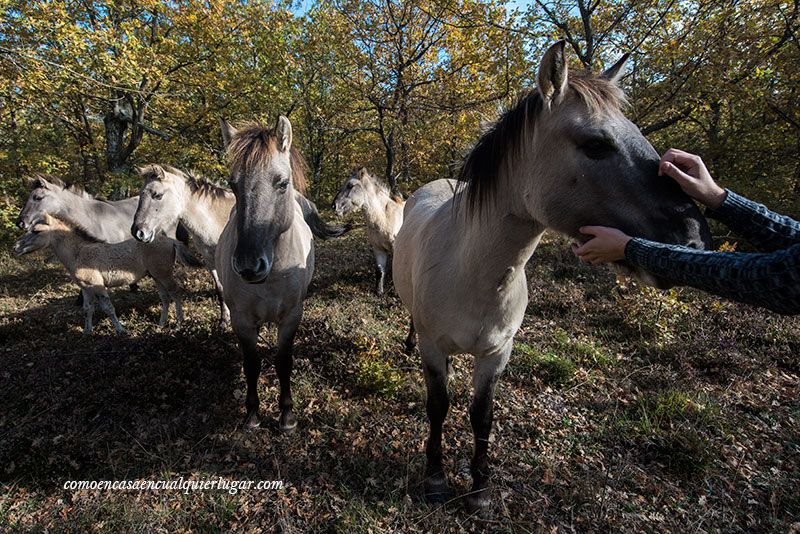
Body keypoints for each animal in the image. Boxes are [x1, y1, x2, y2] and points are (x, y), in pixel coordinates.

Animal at [14, 214, 184, 336]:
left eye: (36, 231)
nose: (16, 246)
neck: (78, 254)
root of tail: (171, 241)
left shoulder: (98, 287)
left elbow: (108, 308)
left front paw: (120, 330)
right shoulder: (86, 289)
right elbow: (87, 309)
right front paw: (87, 332)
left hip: (164, 275)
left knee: (176, 292)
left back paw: (180, 323)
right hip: (156, 276)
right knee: (164, 297)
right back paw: (161, 324)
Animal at [217, 116, 318, 432]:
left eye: (282, 183)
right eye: (233, 184)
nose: (249, 265)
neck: (274, 274)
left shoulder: (291, 316)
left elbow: (283, 361)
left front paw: (287, 416)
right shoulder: (242, 319)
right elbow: (252, 364)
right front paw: (252, 415)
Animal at [332, 168, 404, 296]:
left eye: (350, 185)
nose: (334, 206)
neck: (384, 217)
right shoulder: (378, 249)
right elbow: (380, 271)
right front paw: (379, 292)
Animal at [394, 40, 712, 510]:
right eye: (596, 144)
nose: (692, 238)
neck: (472, 273)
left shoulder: (497, 354)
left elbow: (481, 416)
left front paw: (480, 489)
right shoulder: (435, 349)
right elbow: (439, 407)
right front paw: (435, 477)